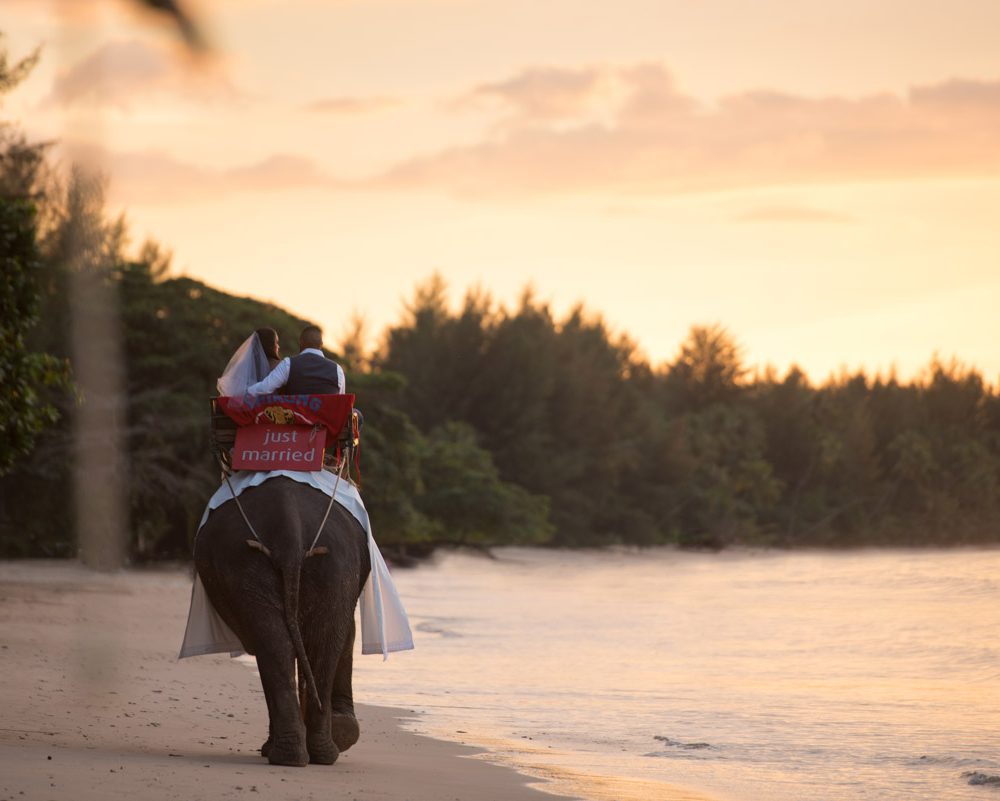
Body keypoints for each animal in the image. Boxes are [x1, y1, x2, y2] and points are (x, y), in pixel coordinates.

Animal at [193, 478, 370, 764]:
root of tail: (290, 529)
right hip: (321, 566)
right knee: (299, 644)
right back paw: (309, 753)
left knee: (288, 644)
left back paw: (299, 753)